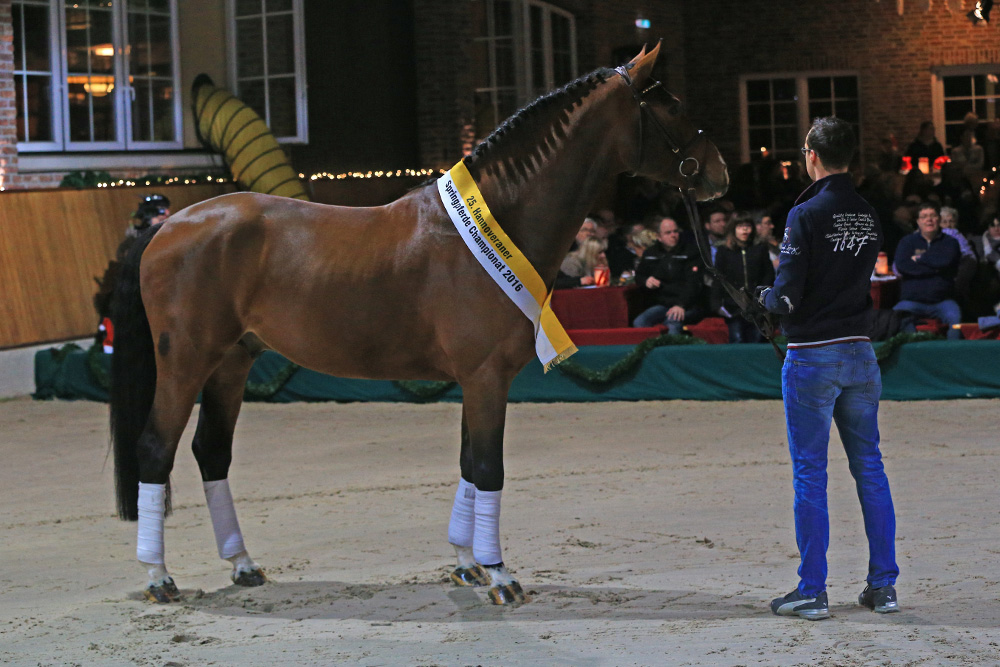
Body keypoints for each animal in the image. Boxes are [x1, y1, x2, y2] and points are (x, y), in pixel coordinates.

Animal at [110, 43, 728, 606]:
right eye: (671, 105)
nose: (719, 174)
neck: (497, 222)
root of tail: (166, 228)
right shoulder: (486, 377)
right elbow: (489, 467)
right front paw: (499, 575)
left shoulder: (477, 379)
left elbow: (469, 465)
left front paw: (465, 563)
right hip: (186, 360)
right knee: (155, 448)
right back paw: (159, 578)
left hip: (233, 361)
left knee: (211, 450)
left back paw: (242, 564)